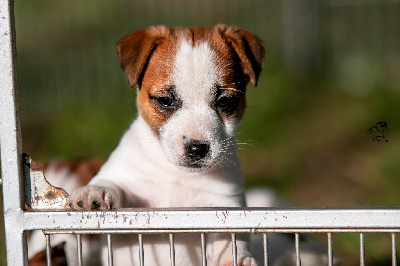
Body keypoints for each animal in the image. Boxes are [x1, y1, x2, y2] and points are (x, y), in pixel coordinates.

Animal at [67, 25, 264, 266]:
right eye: (165, 100)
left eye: (225, 101)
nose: (197, 148)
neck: (177, 176)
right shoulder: (134, 192)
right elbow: (112, 184)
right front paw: (94, 193)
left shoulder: (221, 206)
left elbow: (230, 239)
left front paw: (238, 259)